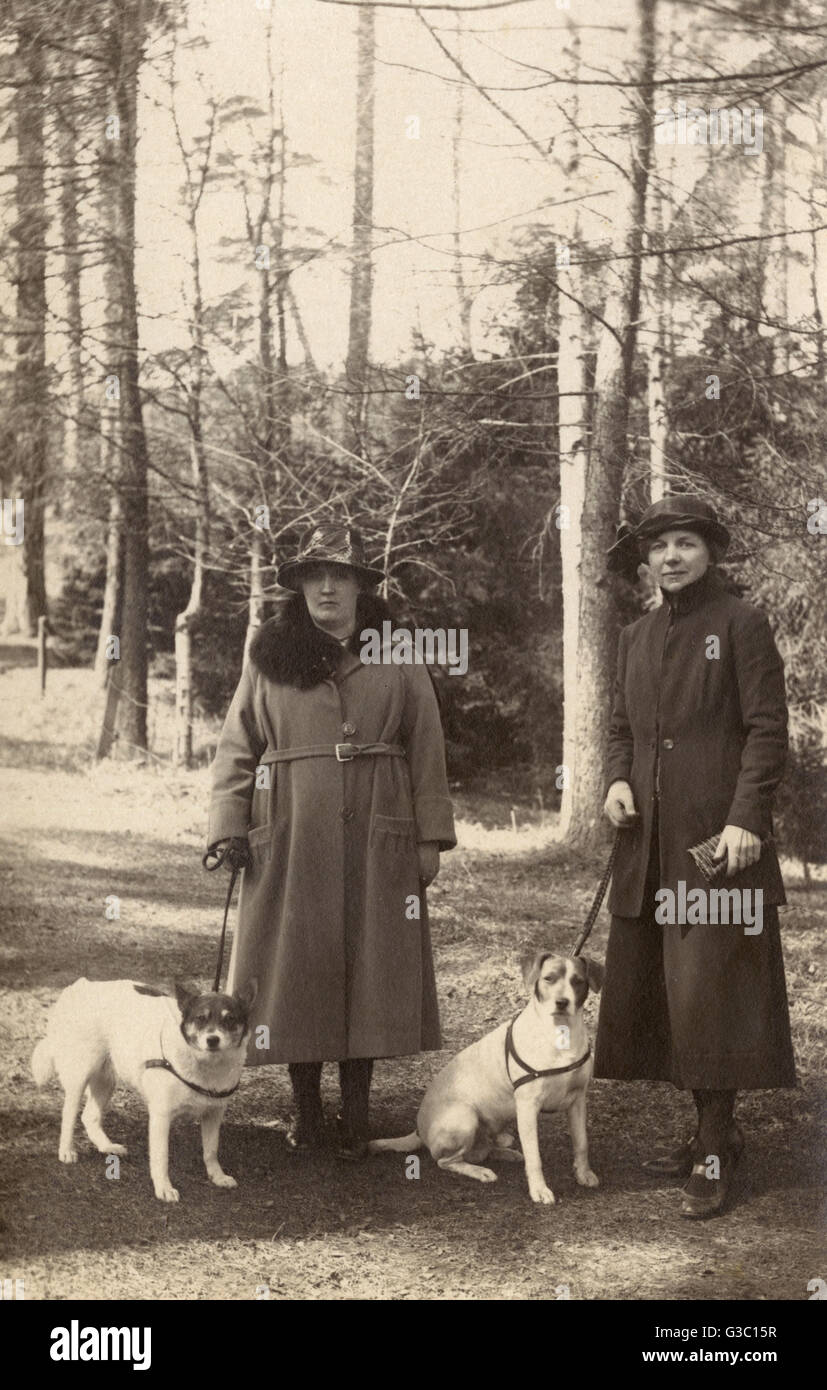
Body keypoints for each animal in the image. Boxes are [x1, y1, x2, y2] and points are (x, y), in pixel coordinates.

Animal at [30, 978, 255, 1206]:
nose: (212, 1040)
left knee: (89, 1116)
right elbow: (161, 1157)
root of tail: (82, 985)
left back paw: (107, 1147)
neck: (205, 1064)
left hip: (106, 1079)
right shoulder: (161, 1117)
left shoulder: (213, 1114)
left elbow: (211, 1150)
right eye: (201, 1018)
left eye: (230, 1019)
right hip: (81, 1072)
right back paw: (66, 1150)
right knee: (69, 1114)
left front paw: (217, 1175)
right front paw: (163, 1187)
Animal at [372, 950, 606, 1200]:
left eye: (578, 981)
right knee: (446, 1161)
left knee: (483, 1149)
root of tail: (418, 1129)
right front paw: (539, 1189)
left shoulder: (578, 1100)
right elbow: (535, 1156)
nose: (562, 1002)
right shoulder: (527, 1106)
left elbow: (581, 1143)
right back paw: (480, 1171)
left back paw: (506, 1152)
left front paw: (583, 1174)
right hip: (464, 1117)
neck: (560, 1033)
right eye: (549, 978)